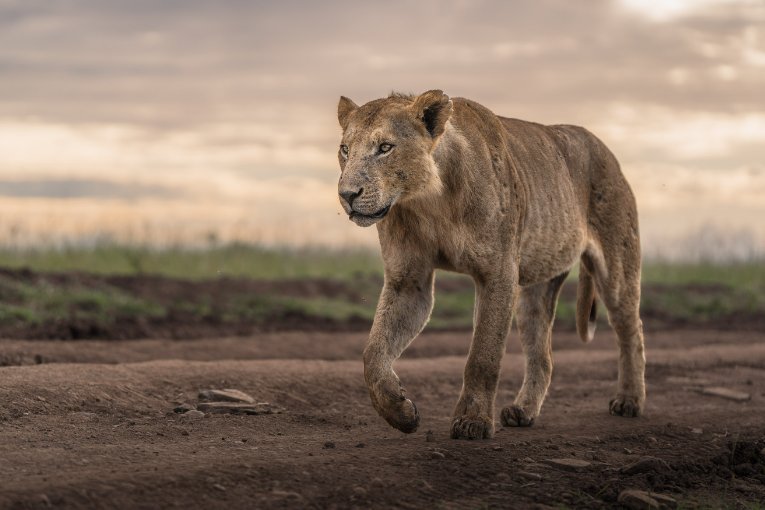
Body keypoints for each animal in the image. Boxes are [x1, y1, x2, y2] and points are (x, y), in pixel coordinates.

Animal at [336, 89, 644, 440]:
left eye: (385, 147)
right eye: (345, 149)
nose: (347, 194)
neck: (431, 201)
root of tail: (603, 147)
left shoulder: (498, 273)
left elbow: (484, 355)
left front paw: (473, 421)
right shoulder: (409, 282)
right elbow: (373, 353)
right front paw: (400, 412)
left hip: (617, 269)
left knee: (631, 331)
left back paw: (630, 400)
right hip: (536, 289)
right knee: (543, 355)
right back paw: (523, 410)